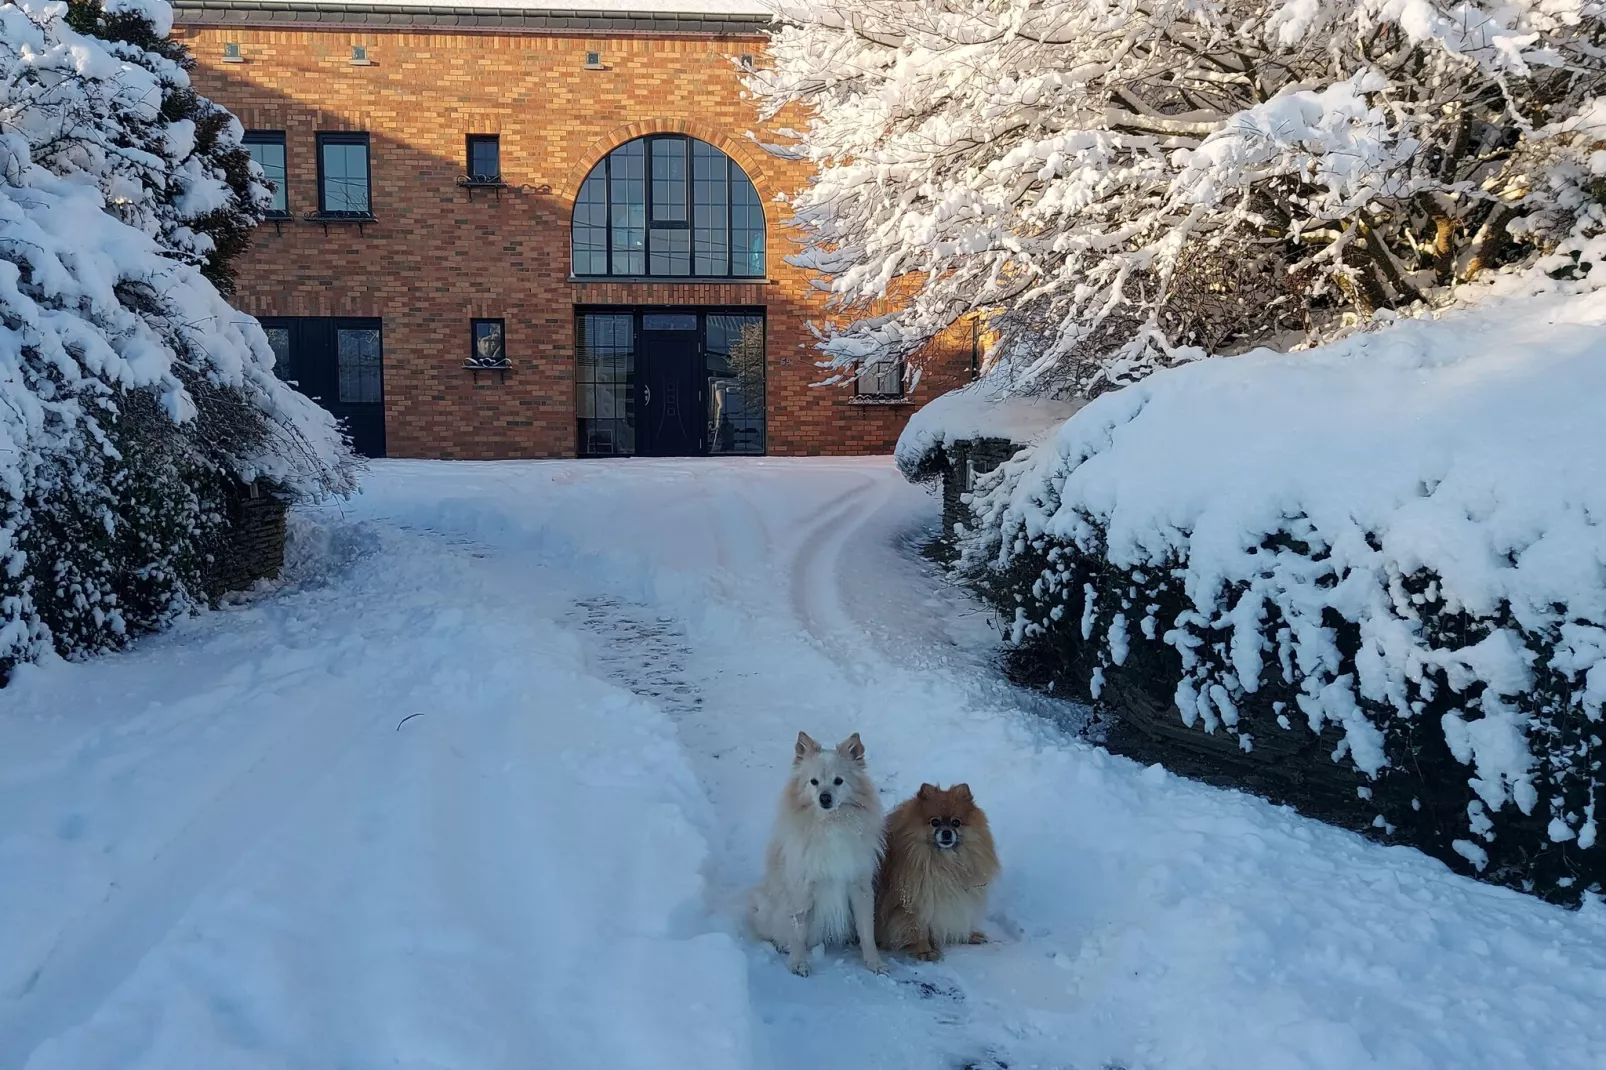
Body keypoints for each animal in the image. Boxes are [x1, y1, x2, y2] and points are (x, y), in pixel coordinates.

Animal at [751, 729, 892, 970]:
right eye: (814, 782)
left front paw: (874, 962)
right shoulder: (803, 887)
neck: (831, 824)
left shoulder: (859, 885)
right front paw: (798, 963)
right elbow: (798, 931)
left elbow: (867, 930)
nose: (824, 798)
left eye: (838, 781)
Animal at [873, 780, 995, 963]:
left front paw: (969, 935)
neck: (945, 861)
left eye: (956, 822)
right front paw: (925, 950)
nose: (947, 832)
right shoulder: (910, 903)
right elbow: (916, 929)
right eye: (935, 822)